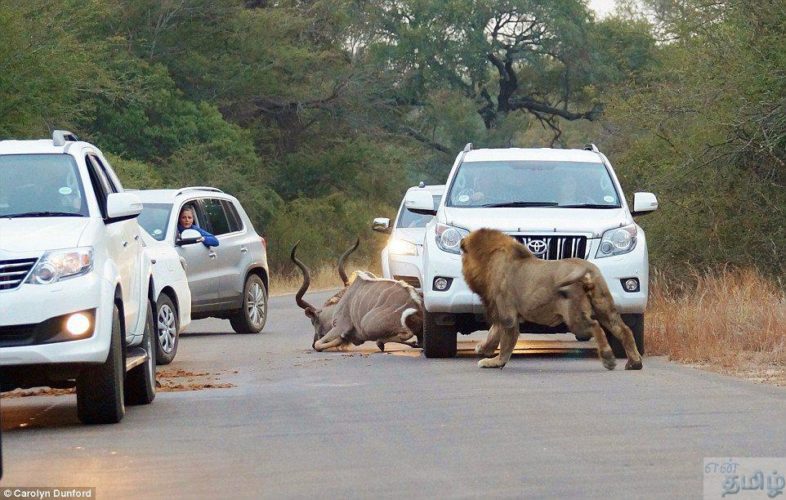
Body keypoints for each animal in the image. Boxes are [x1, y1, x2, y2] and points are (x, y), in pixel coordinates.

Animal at [290, 239, 422, 350]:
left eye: (313, 322)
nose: (312, 343)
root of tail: (416, 305)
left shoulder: (340, 326)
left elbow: (321, 344)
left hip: (366, 325)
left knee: (405, 333)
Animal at [456, 229, 640, 370]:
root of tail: (586, 267)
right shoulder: (505, 313)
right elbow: (493, 333)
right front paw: (483, 348)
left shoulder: (507, 314)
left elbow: (505, 343)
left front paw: (494, 362)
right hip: (604, 306)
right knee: (624, 330)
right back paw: (634, 363)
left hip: (575, 317)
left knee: (596, 327)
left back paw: (608, 359)